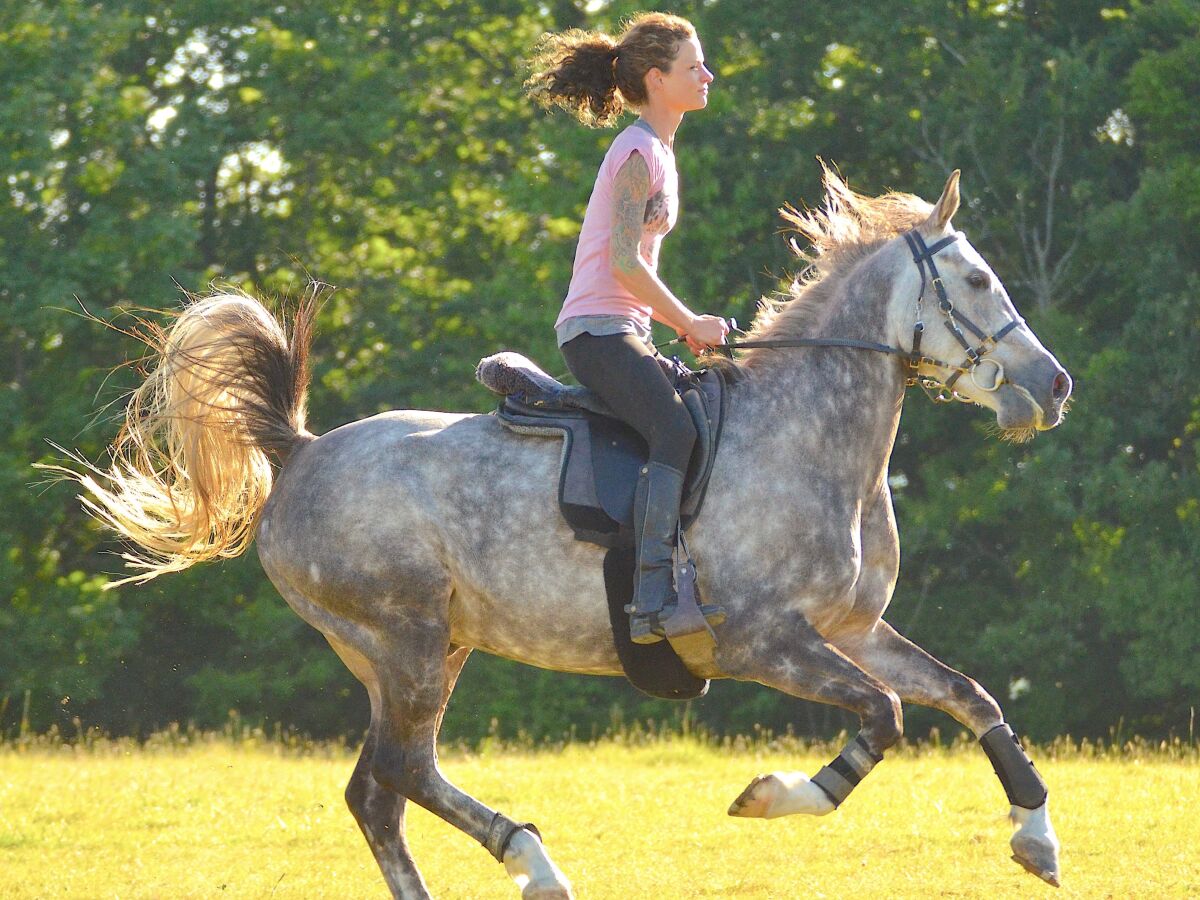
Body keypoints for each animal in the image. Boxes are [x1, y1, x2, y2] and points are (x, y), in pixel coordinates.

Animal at [51, 170, 1075, 900]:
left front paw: (1037, 835)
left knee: (380, 791)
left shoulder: (851, 630)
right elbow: (885, 716)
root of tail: (298, 453)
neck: (808, 436)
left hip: (419, 653)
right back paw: (534, 863)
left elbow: (968, 695)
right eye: (977, 279)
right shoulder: (764, 641)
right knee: (402, 772)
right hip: (406, 641)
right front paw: (773, 795)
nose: (1054, 385)